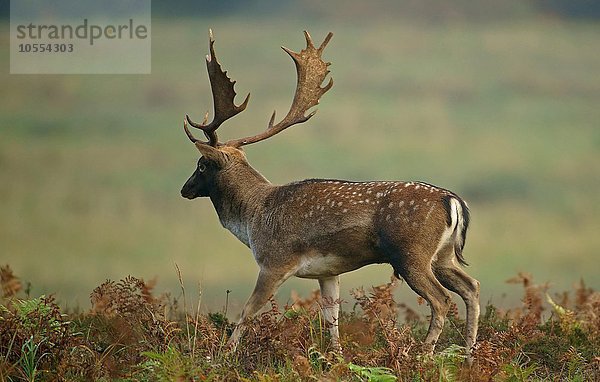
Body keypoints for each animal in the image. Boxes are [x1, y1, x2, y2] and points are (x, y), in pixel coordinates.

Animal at [180, 29, 480, 362]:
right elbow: (331, 318)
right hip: (443, 255)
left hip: (411, 254)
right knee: (471, 287)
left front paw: (223, 355)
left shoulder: (274, 261)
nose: (185, 189)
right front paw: (335, 357)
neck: (253, 217)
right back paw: (469, 354)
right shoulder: (328, 272)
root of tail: (454, 202)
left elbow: (248, 311)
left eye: (201, 164)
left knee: (441, 299)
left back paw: (423, 355)